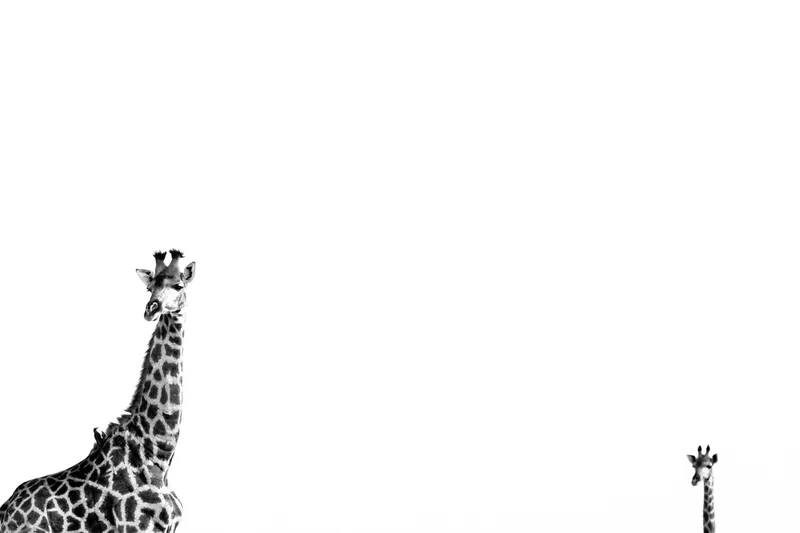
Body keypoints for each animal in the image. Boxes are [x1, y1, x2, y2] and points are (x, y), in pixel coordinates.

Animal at [0, 250, 196, 533]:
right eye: (149, 288)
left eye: (178, 285)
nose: (151, 309)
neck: (158, 454)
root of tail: (5, 510)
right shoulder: (135, 527)